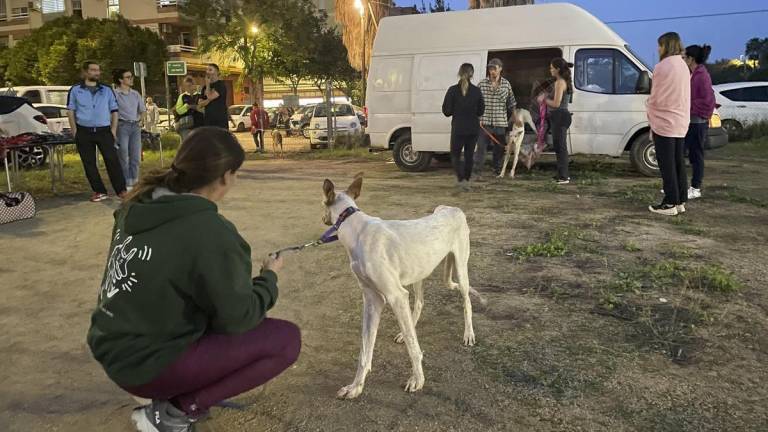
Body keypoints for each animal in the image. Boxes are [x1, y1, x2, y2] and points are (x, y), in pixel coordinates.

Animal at [322, 172, 480, 398]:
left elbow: (414, 349)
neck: (353, 225)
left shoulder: (395, 296)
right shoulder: (373, 300)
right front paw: (356, 386)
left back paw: (468, 334)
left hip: (460, 267)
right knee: (420, 303)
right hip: (418, 273)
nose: (323, 219)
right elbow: (365, 350)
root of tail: (450, 208)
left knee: (466, 301)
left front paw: (418, 380)